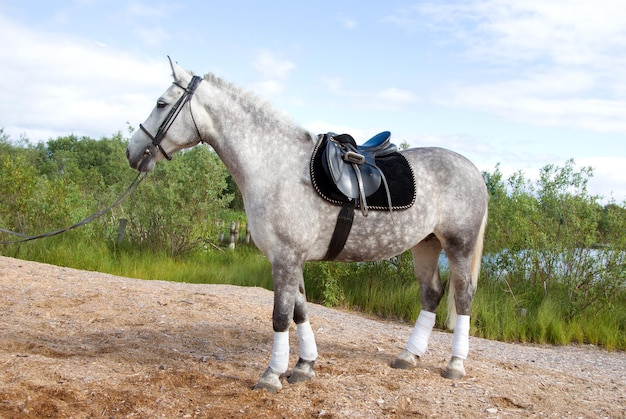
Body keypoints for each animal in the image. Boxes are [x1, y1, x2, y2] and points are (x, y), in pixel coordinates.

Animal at [127, 57, 488, 396]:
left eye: (161, 103)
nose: (132, 152)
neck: (275, 166)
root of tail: (472, 169)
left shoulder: (285, 256)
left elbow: (280, 315)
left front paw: (271, 375)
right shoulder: (290, 257)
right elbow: (299, 310)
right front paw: (303, 366)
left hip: (459, 245)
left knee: (463, 295)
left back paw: (455, 364)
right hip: (426, 244)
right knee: (432, 293)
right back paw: (408, 356)